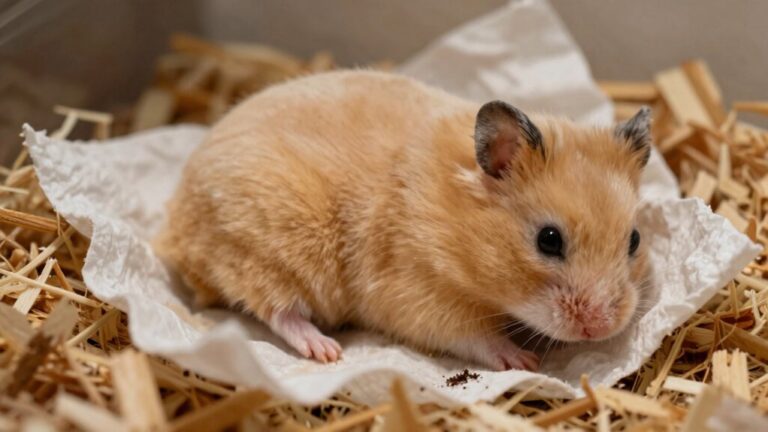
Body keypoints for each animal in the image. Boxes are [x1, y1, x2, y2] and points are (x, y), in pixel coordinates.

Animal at [154, 70, 653, 371]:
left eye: (633, 240)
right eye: (549, 240)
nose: (601, 327)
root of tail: (175, 222)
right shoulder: (421, 295)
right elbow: (475, 337)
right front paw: (525, 361)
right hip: (274, 247)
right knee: (277, 309)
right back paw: (326, 350)